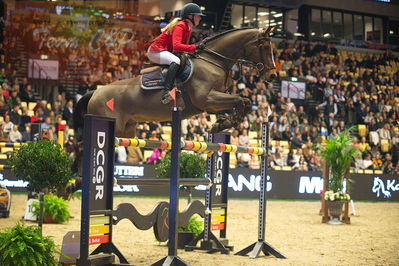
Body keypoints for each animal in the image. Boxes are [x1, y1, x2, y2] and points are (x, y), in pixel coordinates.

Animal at [73, 27, 276, 140]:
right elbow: (241, 100)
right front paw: (219, 125)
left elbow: (244, 102)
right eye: (266, 47)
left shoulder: (215, 100)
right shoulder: (206, 99)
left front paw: (221, 123)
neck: (213, 61)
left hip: (126, 130)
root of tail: (95, 92)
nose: (273, 75)